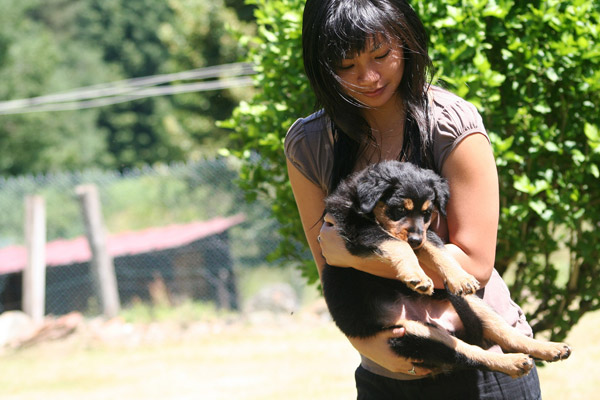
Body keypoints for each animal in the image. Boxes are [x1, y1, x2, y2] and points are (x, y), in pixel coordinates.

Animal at [322, 160, 568, 378]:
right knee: (470, 353)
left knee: (507, 334)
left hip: (468, 304)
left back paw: (550, 348)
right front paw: (417, 276)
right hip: (413, 335)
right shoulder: (359, 231)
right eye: (398, 209)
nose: (415, 239)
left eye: (427, 213)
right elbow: (398, 244)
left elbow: (437, 249)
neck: (362, 207)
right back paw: (514, 362)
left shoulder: (424, 233)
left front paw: (460, 277)